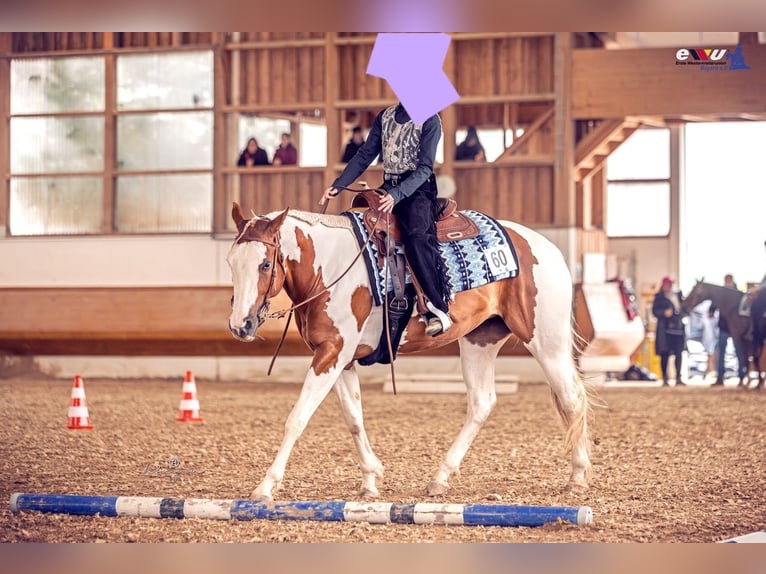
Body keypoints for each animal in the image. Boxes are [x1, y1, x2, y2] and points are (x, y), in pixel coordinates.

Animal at [226, 205, 592, 502]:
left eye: (265, 264)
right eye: (231, 262)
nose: (240, 325)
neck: (328, 267)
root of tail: (547, 248)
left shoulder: (331, 354)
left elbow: (297, 419)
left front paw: (266, 486)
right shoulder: (339, 358)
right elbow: (354, 418)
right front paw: (371, 478)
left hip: (545, 341)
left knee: (571, 398)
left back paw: (577, 477)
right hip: (479, 340)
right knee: (482, 402)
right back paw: (440, 477)